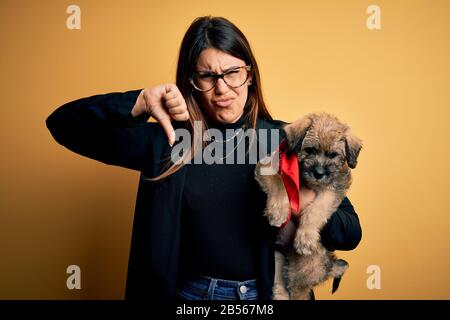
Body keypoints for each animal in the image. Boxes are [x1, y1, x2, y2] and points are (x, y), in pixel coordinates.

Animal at [256, 112, 362, 300]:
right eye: (310, 150)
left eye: (333, 155)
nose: (318, 174)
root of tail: (329, 266)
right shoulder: (267, 166)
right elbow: (279, 183)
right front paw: (278, 210)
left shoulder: (333, 189)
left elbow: (317, 208)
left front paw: (305, 237)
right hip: (277, 258)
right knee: (280, 285)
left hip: (302, 270)